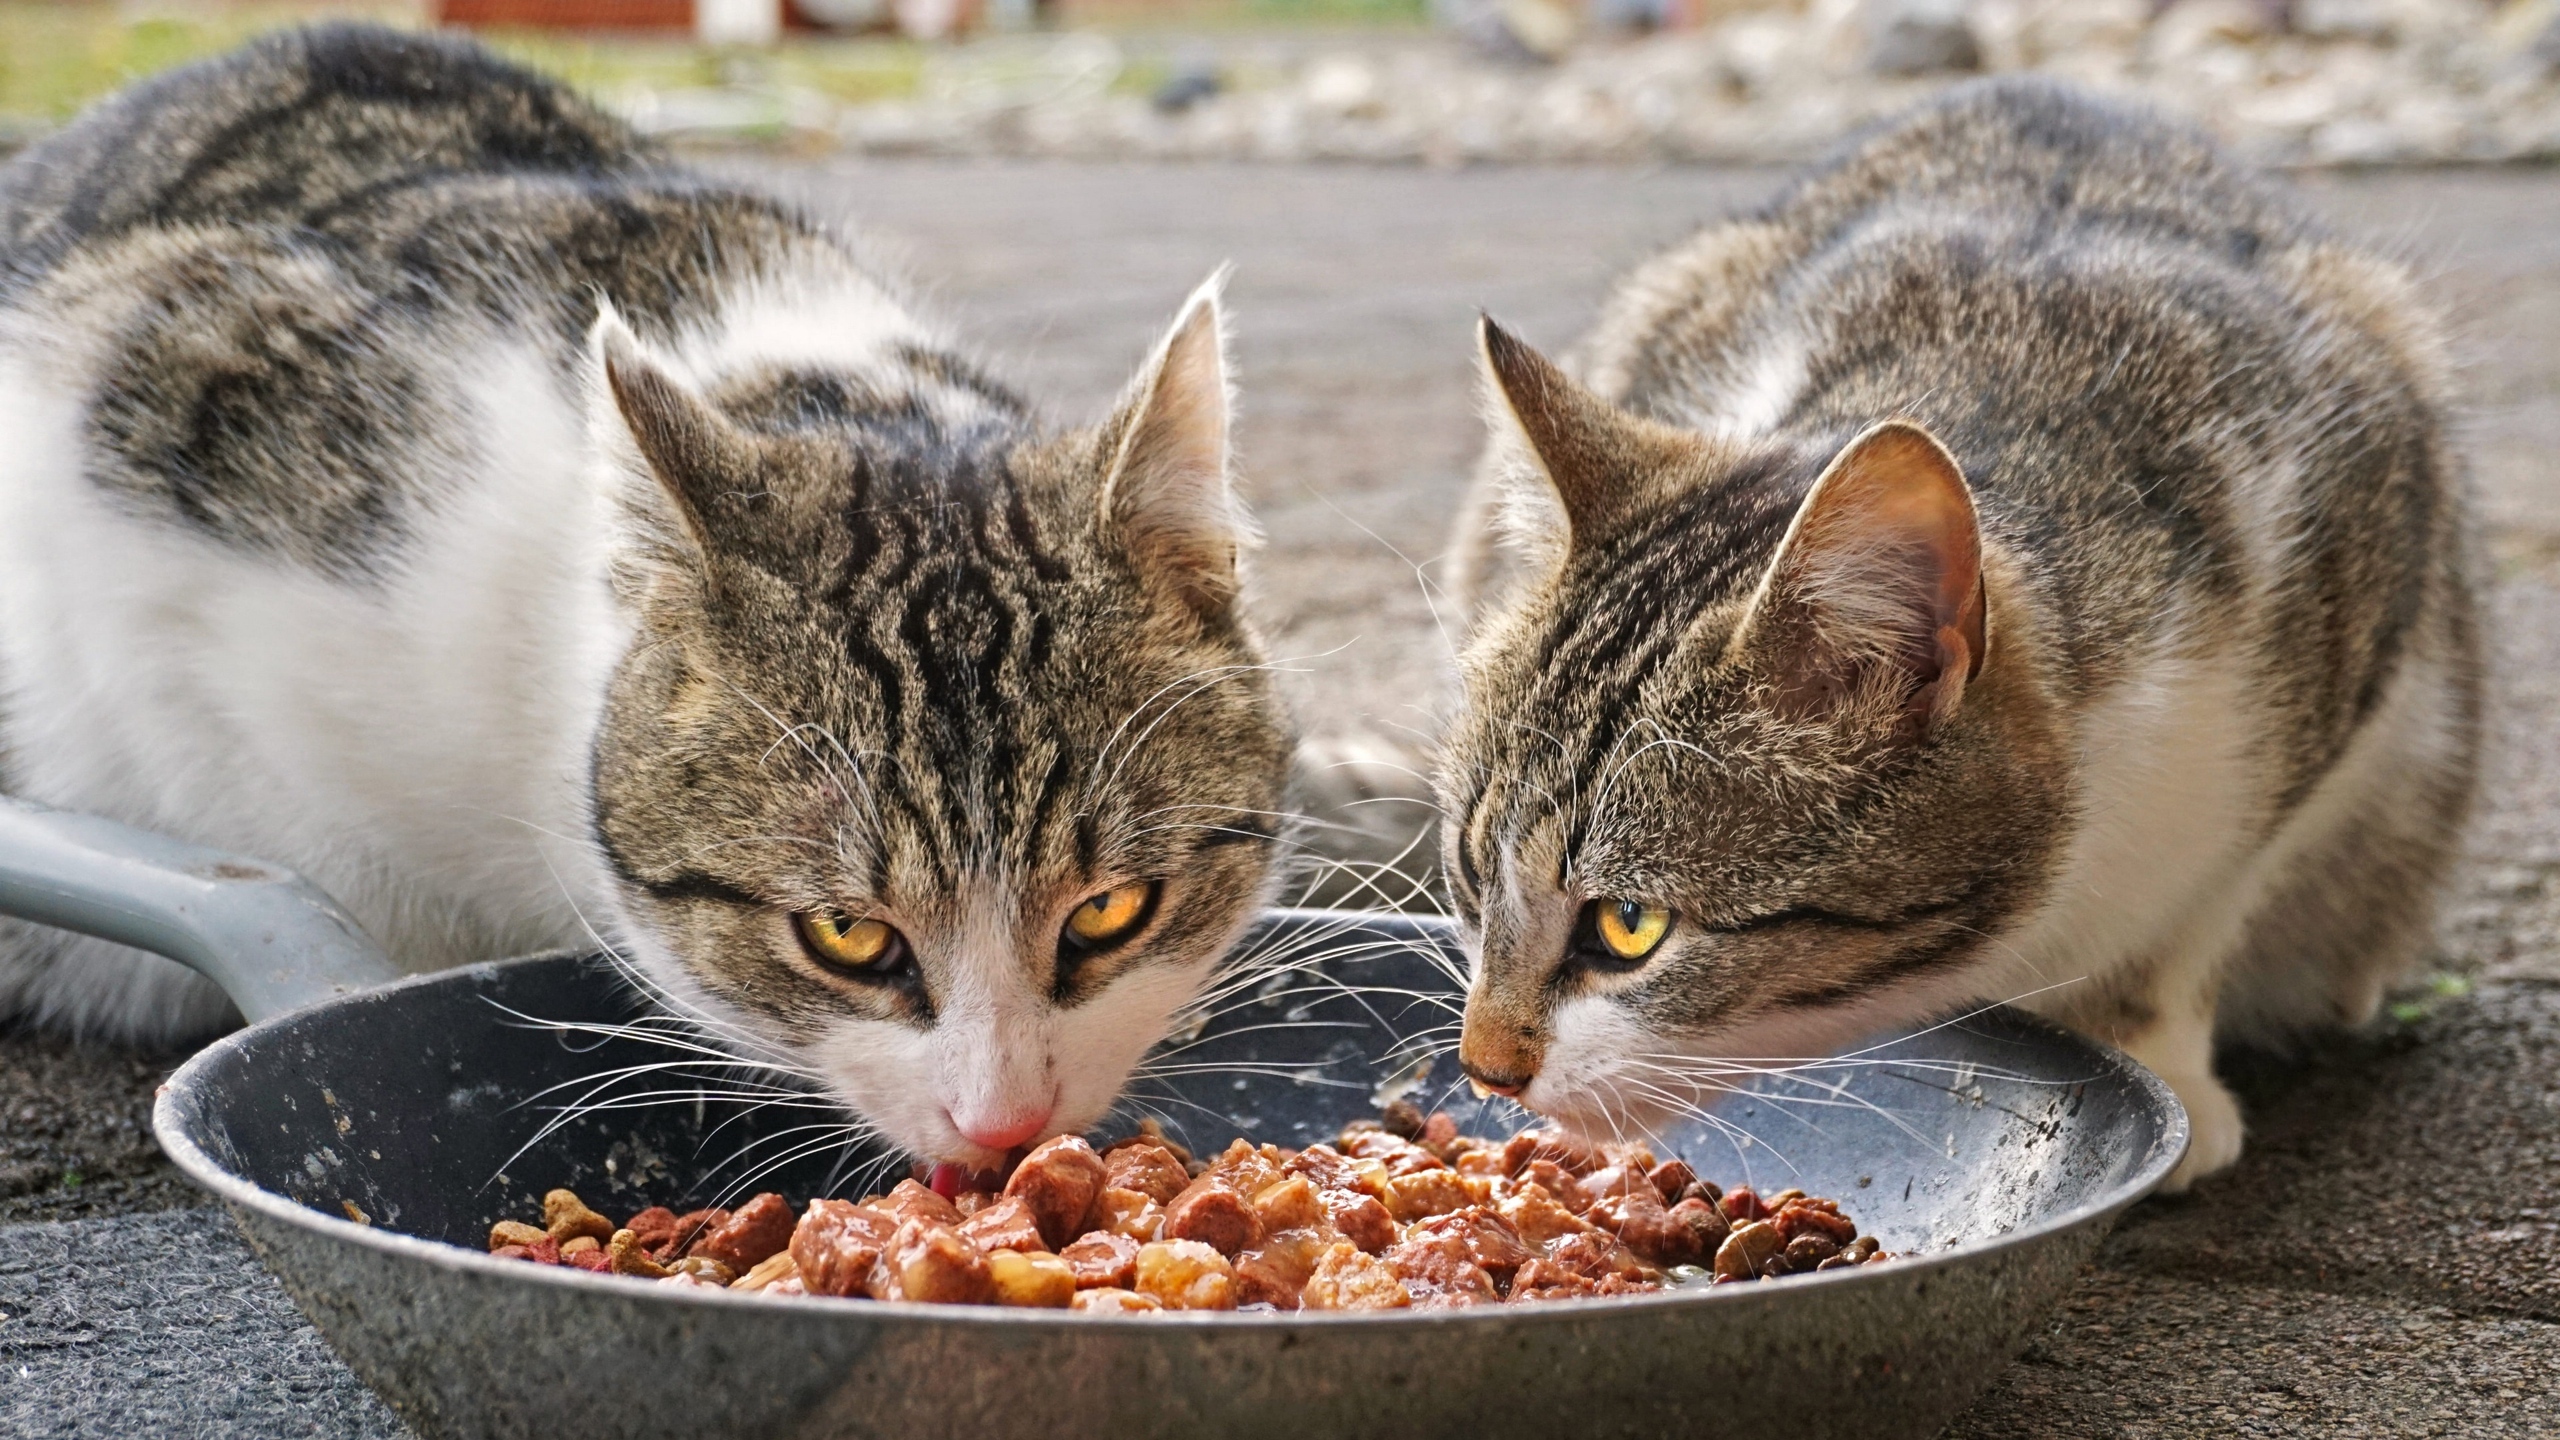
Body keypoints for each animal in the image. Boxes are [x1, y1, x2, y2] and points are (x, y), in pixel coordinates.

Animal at [1433, 75, 2467, 1188]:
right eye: (1469, 874)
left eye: (1630, 927)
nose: (1486, 1069)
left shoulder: (2353, 577)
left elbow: (2195, 915)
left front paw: (2157, 1058)